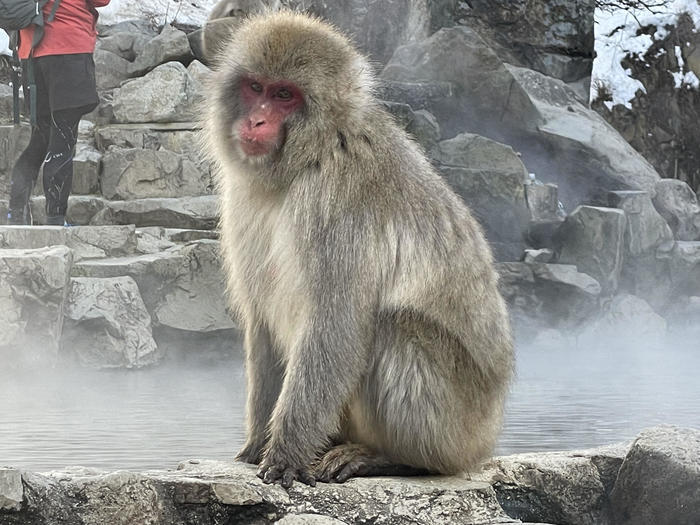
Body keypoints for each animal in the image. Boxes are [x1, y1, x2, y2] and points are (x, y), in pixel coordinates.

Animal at [202, 10, 516, 490]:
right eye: (255, 87)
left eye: (284, 95)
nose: (255, 122)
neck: (313, 153)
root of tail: (485, 439)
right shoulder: (244, 200)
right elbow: (263, 318)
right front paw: (256, 444)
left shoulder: (335, 202)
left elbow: (336, 322)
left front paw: (286, 453)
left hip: (458, 422)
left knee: (393, 326)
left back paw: (394, 458)